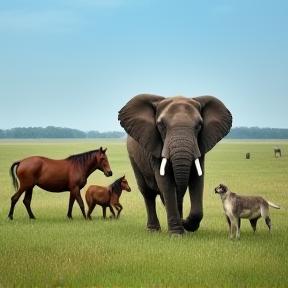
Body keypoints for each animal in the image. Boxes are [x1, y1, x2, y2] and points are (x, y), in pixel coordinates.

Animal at [118, 93, 233, 235]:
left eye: (199, 125)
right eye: (162, 126)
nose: (183, 220)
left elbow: (197, 180)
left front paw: (185, 225)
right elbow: (166, 182)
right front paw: (177, 233)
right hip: (133, 158)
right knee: (148, 192)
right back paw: (153, 230)